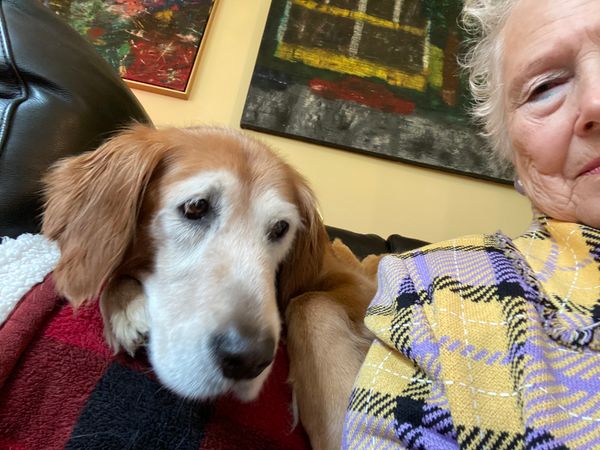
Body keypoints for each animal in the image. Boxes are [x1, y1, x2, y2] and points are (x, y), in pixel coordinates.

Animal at [43, 125, 376, 448]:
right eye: (195, 207)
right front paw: (126, 307)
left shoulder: (353, 284)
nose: (248, 360)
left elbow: (307, 302)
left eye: (281, 228)